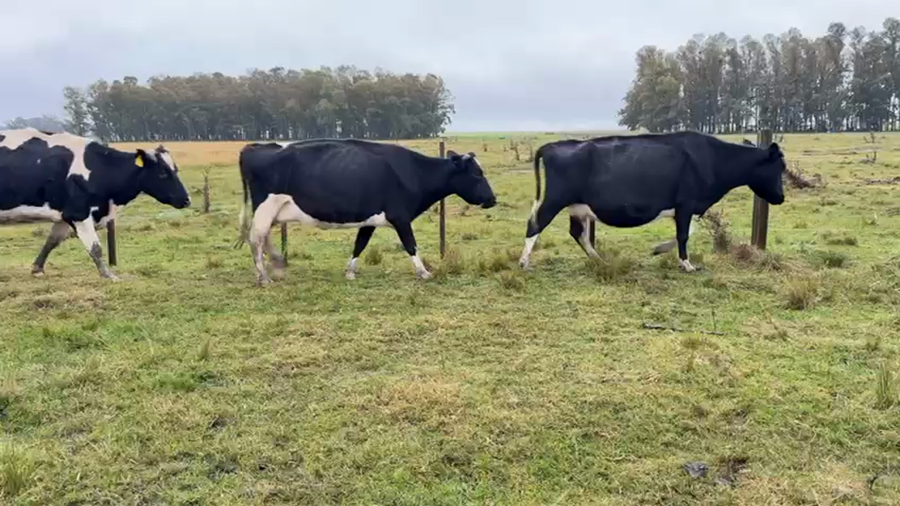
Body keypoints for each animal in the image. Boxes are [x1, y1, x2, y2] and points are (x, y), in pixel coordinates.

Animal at [0, 127, 191, 280]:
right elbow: (95, 248)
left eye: (175, 169)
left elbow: (51, 242)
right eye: (162, 172)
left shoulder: (64, 215)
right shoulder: (79, 214)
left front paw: (37, 269)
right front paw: (108, 275)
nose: (186, 200)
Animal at [236, 139, 497, 286]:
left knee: (262, 239)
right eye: (477, 174)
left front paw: (349, 272)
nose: (492, 199)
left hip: (271, 212)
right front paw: (424, 272)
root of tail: (253, 147)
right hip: (265, 208)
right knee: (256, 240)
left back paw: (276, 264)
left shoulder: (369, 220)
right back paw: (265, 277)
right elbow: (411, 245)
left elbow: (359, 245)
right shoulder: (400, 217)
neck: (415, 173)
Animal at [518, 131, 786, 272]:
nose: (781, 198)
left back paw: (600, 260)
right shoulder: (687, 202)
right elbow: (684, 235)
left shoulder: (685, 207)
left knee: (578, 233)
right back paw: (523, 262)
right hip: (554, 200)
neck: (714, 159)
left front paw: (659, 250)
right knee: (535, 225)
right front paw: (687, 264)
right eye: (779, 168)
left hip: (577, 207)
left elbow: (688, 232)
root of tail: (554, 145)